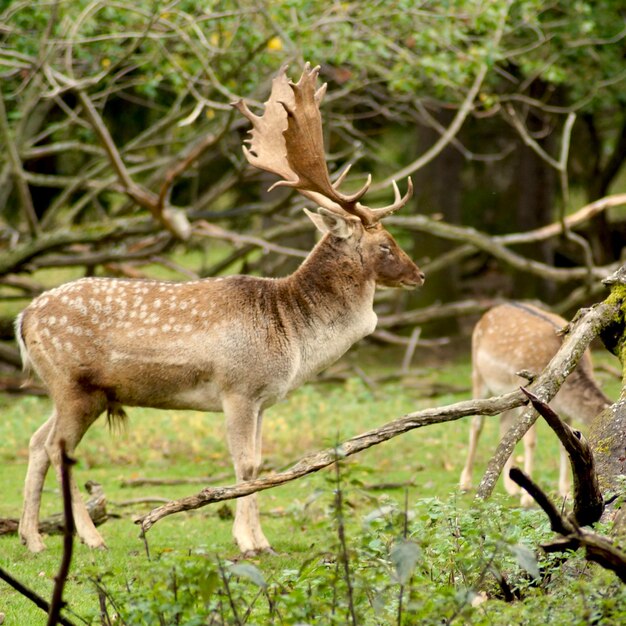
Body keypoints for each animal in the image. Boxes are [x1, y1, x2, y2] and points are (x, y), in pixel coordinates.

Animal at [14, 63, 424, 552]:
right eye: (386, 245)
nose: (419, 275)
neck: (292, 332)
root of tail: (22, 318)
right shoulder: (238, 387)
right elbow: (245, 465)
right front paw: (249, 542)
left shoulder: (264, 400)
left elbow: (261, 465)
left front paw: (259, 539)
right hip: (74, 385)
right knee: (59, 449)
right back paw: (91, 538)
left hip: (69, 390)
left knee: (36, 442)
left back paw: (32, 538)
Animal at [454, 300, 608, 504]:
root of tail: (490, 311)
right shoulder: (532, 395)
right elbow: (530, 442)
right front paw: (527, 499)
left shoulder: (563, 411)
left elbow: (566, 443)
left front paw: (565, 491)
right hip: (478, 375)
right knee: (477, 424)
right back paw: (465, 483)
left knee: (505, 428)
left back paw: (511, 488)